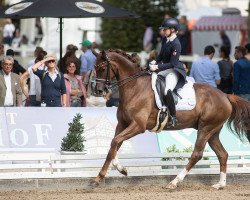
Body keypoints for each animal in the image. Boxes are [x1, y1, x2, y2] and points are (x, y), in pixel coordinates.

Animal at [93, 49, 250, 189]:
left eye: (102, 68)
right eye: (95, 67)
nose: (98, 91)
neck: (134, 87)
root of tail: (225, 96)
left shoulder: (138, 125)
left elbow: (115, 142)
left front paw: (121, 169)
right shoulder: (122, 124)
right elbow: (113, 146)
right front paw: (99, 177)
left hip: (206, 128)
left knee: (197, 154)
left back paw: (174, 182)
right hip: (213, 132)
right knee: (222, 154)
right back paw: (220, 184)